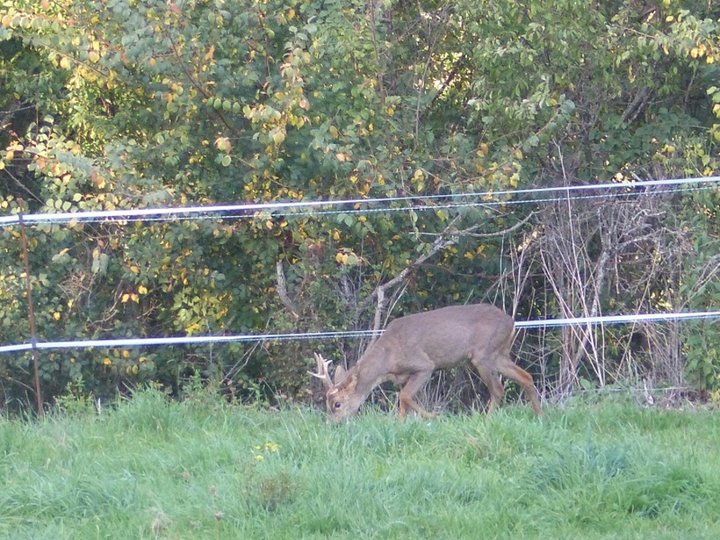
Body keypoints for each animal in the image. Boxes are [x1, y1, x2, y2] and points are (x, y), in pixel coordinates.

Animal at [312, 302, 544, 420]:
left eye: (337, 404)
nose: (332, 424)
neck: (388, 360)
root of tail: (511, 322)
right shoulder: (404, 377)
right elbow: (402, 403)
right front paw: (401, 425)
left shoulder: (424, 365)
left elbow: (405, 397)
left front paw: (433, 415)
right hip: (498, 354)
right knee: (525, 376)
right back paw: (539, 415)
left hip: (483, 355)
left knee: (497, 388)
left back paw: (487, 420)